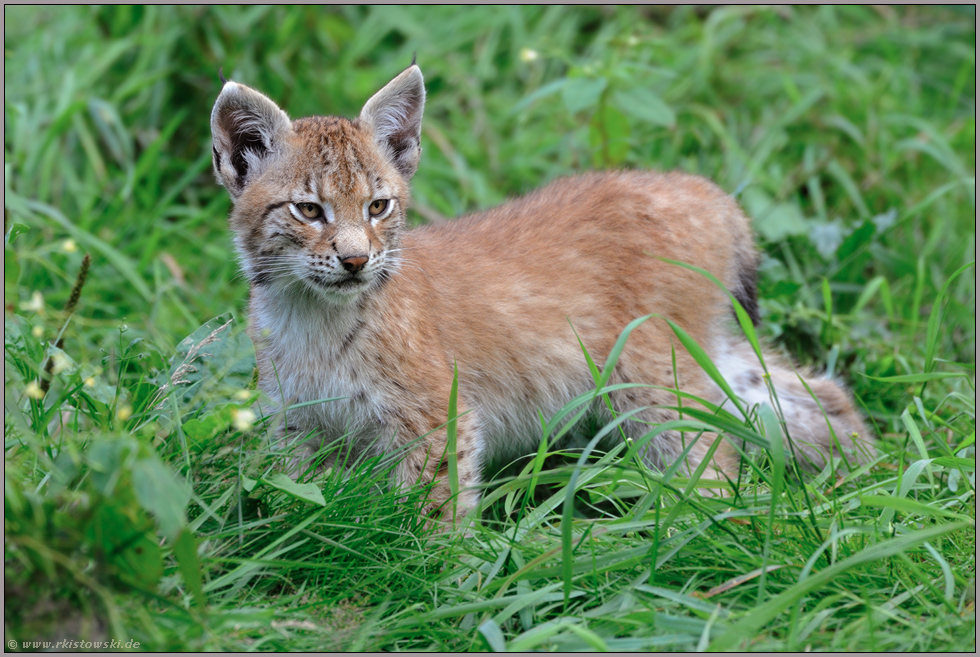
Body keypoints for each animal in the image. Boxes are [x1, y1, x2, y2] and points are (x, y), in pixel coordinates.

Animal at [211, 61, 868, 524]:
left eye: (378, 207)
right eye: (308, 210)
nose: (355, 260)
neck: (310, 311)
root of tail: (696, 187)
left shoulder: (438, 415)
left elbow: (431, 512)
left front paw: (437, 584)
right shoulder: (295, 425)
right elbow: (298, 499)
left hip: (646, 377)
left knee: (708, 452)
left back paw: (704, 529)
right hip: (699, 351)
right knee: (811, 396)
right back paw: (858, 479)